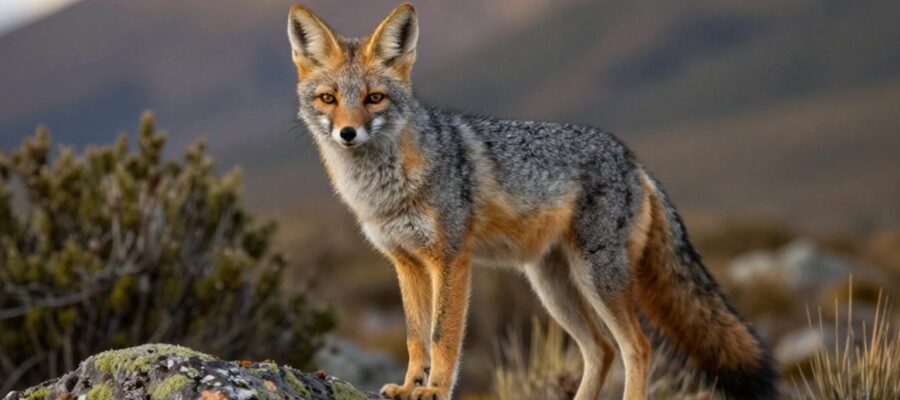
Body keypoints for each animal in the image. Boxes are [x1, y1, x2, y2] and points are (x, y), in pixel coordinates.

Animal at [286, 3, 778, 400]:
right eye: (329, 98)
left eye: (374, 98)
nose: (347, 133)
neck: (384, 189)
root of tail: (634, 159)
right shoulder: (406, 263)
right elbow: (414, 336)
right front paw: (410, 386)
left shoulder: (450, 258)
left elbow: (442, 336)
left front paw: (435, 389)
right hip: (552, 287)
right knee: (600, 349)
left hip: (597, 277)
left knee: (635, 346)